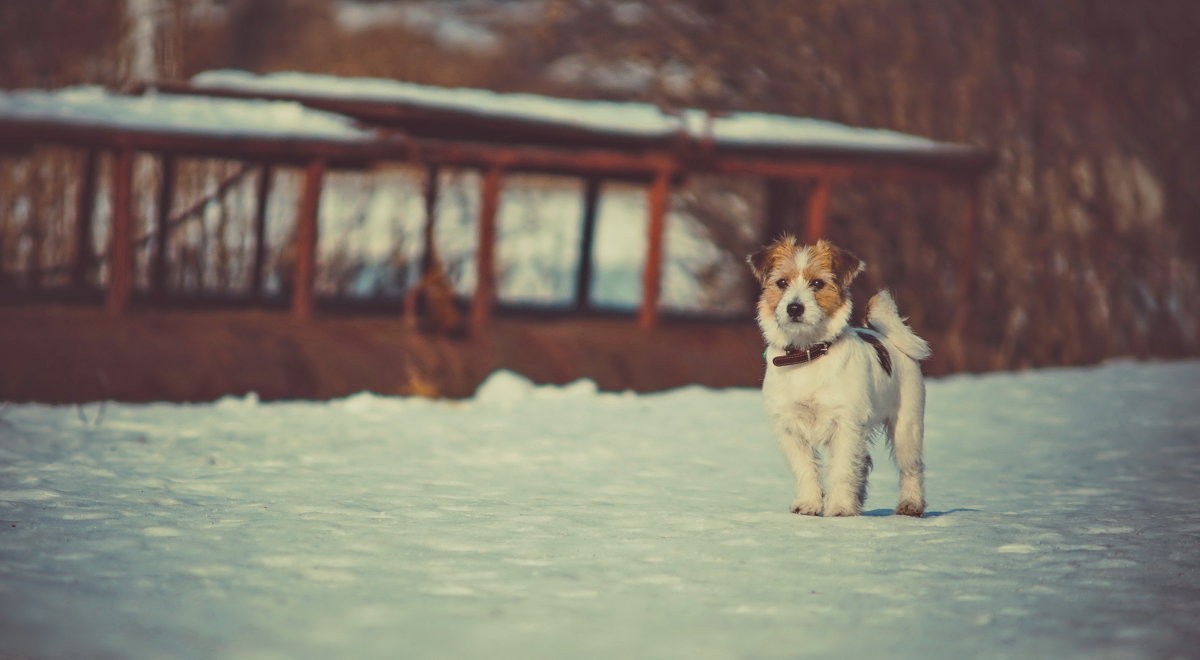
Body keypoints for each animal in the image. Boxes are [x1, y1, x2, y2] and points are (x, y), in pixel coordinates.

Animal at [744, 235, 931, 520]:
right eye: (782, 283)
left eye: (817, 283)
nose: (794, 308)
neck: (807, 354)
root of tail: (890, 339)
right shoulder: (790, 427)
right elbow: (806, 469)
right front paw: (808, 504)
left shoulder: (846, 424)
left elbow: (842, 469)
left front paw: (840, 508)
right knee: (863, 463)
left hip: (906, 427)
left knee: (911, 467)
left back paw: (911, 504)